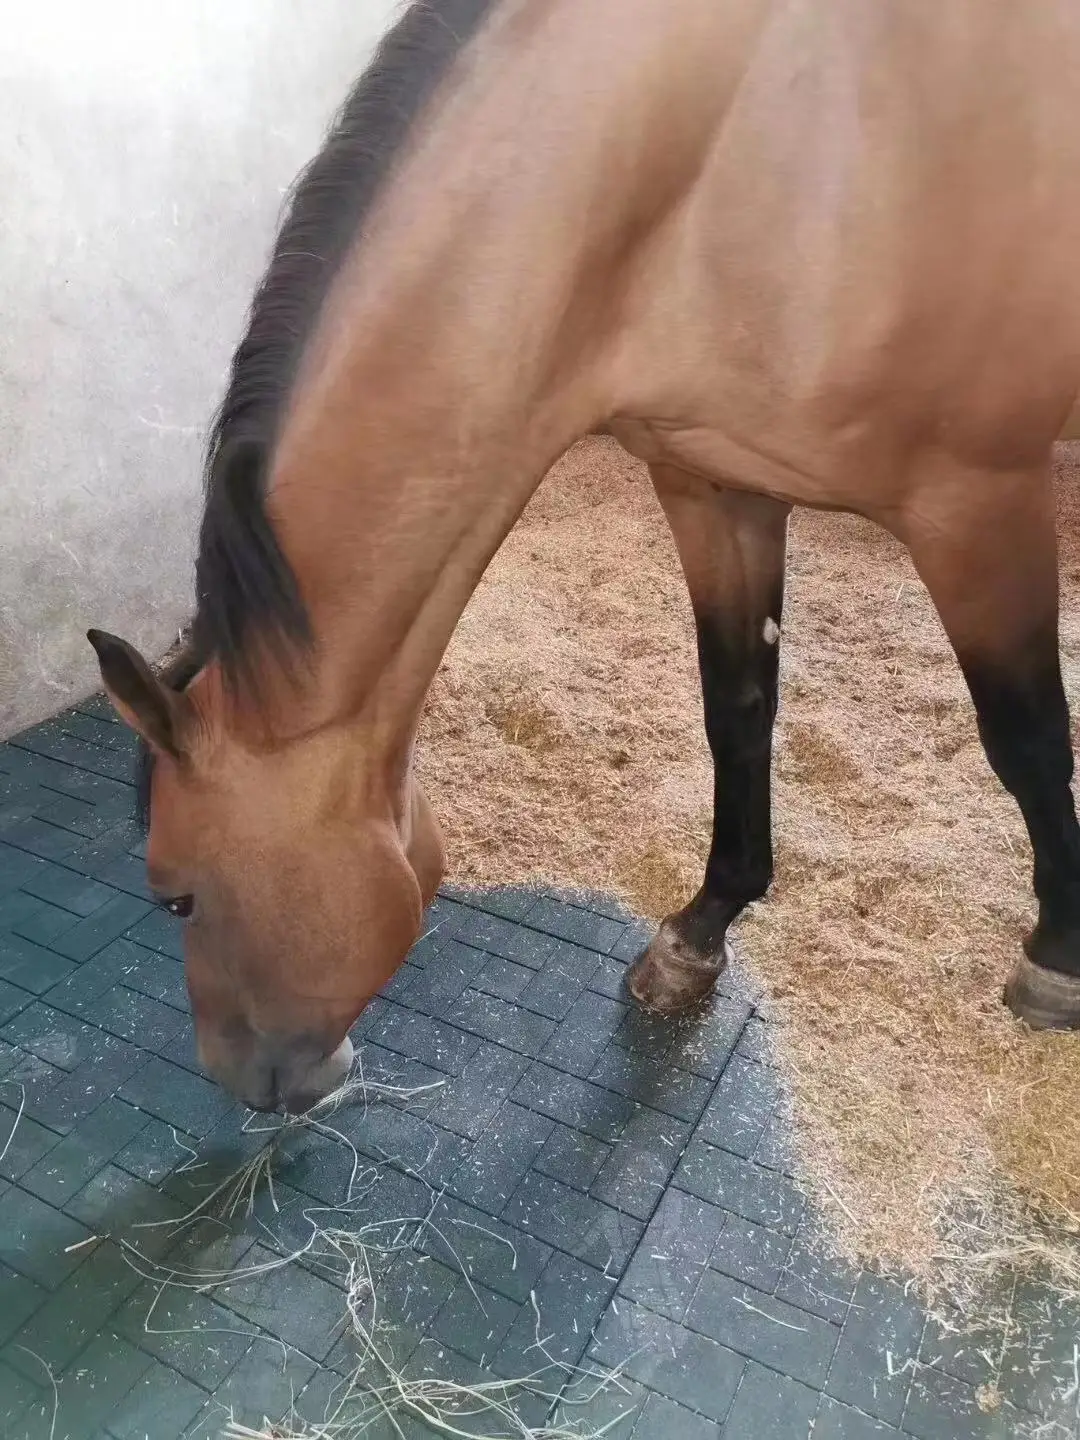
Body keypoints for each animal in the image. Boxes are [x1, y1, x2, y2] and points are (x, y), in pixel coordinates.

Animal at [87, 0, 1080, 1113]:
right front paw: (699, 934)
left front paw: (1058, 958)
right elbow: (737, 711)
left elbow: (1027, 738)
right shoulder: (713, 486)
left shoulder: (974, 499)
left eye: (176, 898)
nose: (246, 1083)